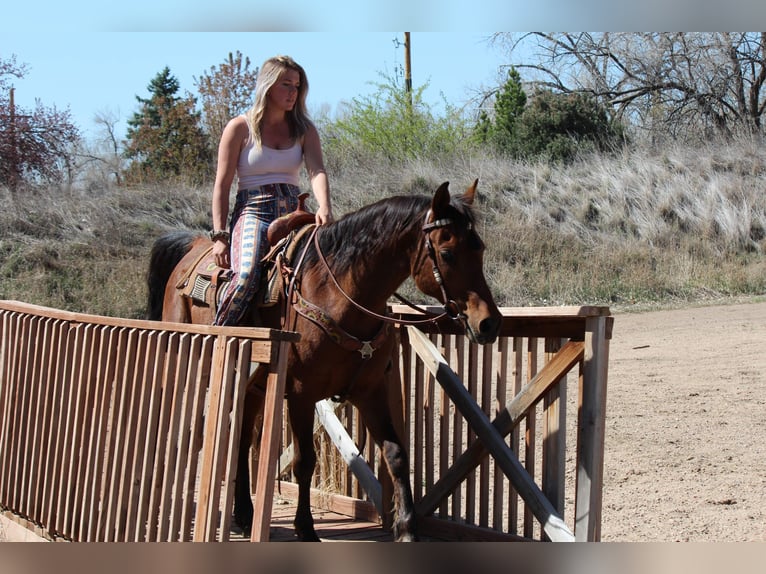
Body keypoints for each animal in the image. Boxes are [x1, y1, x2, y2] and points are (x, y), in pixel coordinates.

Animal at [146, 180, 502, 541]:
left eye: (480, 248)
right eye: (447, 253)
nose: (488, 323)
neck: (339, 293)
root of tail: (193, 245)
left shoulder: (370, 391)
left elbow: (396, 455)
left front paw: (406, 529)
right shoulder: (301, 395)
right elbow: (305, 461)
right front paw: (305, 527)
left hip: (255, 385)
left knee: (244, 438)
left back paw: (245, 513)